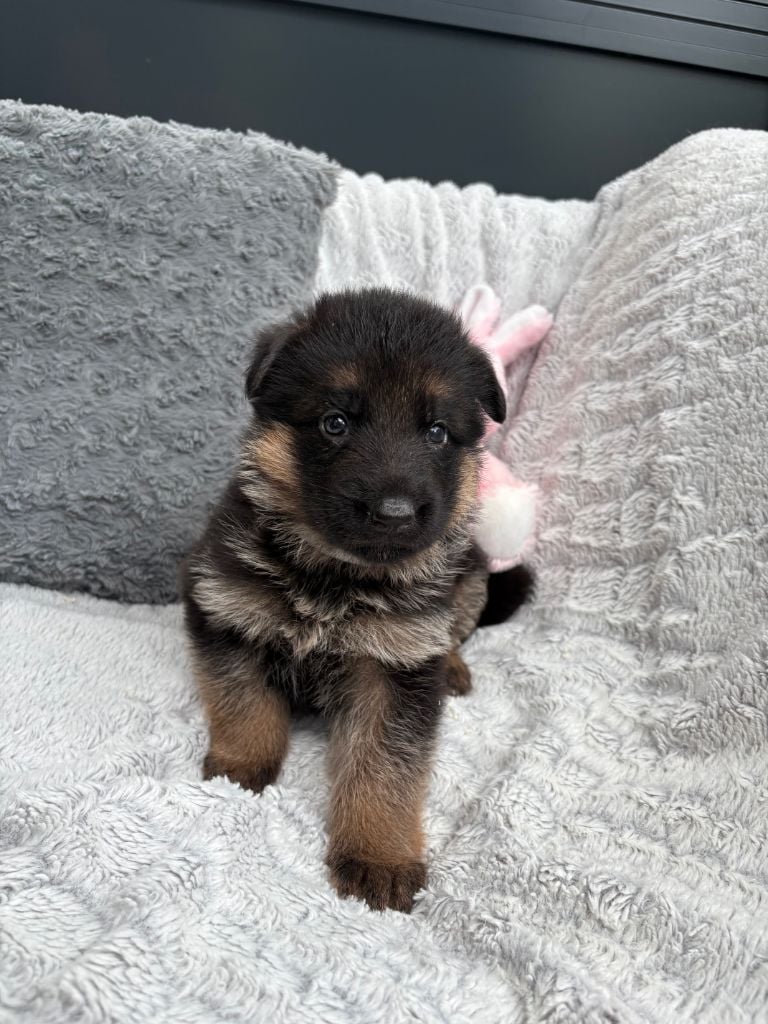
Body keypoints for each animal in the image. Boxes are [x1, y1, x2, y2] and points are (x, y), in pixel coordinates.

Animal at [180, 287, 532, 912]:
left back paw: (454, 667)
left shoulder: (397, 667)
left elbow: (384, 771)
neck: (335, 576)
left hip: (470, 575)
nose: (394, 513)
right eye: (335, 423)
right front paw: (241, 767)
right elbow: (244, 705)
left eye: (437, 432)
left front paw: (378, 857)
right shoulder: (227, 611)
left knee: (455, 628)